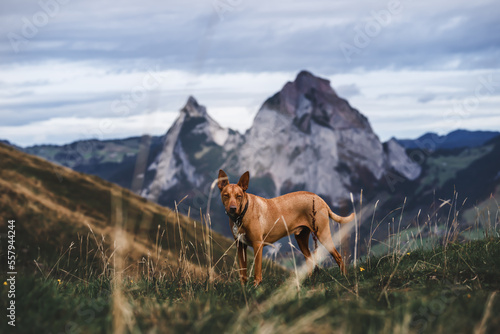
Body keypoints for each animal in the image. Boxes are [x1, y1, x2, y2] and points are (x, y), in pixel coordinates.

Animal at [217, 170, 354, 284]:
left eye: (239, 196)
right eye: (226, 195)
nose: (232, 208)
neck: (241, 215)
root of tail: (320, 199)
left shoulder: (257, 245)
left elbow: (257, 272)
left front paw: (256, 287)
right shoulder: (240, 246)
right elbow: (243, 273)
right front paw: (244, 290)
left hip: (322, 234)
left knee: (338, 256)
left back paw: (345, 277)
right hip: (301, 238)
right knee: (309, 259)